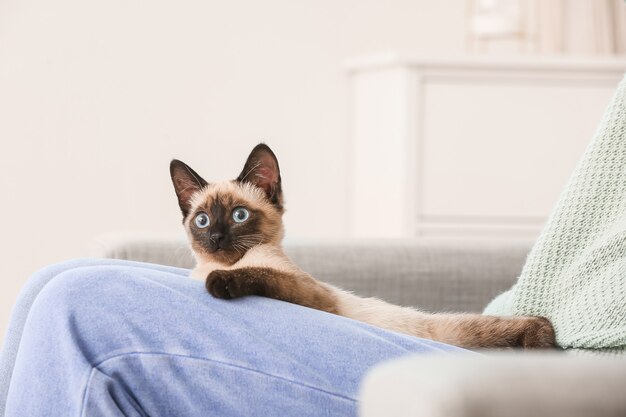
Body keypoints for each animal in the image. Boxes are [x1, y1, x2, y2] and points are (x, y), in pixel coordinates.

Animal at [168, 143, 552, 348]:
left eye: (239, 215)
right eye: (202, 221)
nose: (216, 238)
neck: (221, 265)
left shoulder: (315, 296)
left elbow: (263, 274)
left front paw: (219, 284)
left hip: (463, 331)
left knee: (538, 323)